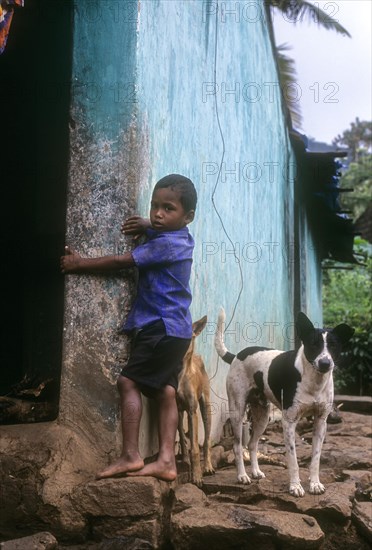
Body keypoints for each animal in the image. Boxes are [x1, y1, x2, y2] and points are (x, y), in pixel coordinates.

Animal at [214, 310, 354, 500]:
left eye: (333, 346)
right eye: (313, 345)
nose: (325, 363)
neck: (314, 381)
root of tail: (236, 356)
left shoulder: (320, 422)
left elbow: (316, 458)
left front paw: (315, 484)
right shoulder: (289, 423)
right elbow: (293, 460)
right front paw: (295, 487)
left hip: (263, 416)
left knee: (252, 444)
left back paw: (255, 472)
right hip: (237, 410)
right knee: (237, 446)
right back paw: (242, 476)